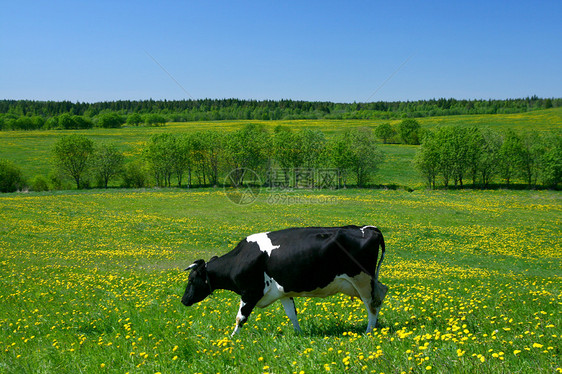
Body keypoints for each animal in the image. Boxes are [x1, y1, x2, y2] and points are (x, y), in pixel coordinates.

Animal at [182, 225, 388, 336]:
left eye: (191, 280)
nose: (183, 300)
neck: (241, 257)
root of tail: (369, 228)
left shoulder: (250, 292)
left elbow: (240, 317)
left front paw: (232, 338)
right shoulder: (283, 292)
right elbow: (292, 314)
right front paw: (299, 334)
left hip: (362, 280)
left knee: (372, 305)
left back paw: (368, 331)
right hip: (369, 282)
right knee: (381, 293)